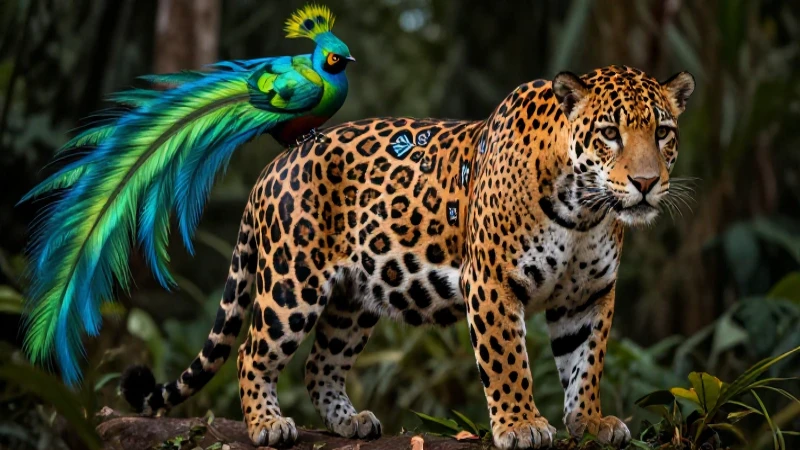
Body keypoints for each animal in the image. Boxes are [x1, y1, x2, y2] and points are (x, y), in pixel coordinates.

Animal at [121, 65, 695, 449]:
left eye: (664, 132)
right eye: (610, 134)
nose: (646, 184)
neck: (583, 210)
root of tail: (271, 169)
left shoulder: (589, 294)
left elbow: (586, 363)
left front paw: (590, 423)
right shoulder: (491, 282)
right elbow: (508, 361)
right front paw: (521, 425)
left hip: (353, 300)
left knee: (319, 364)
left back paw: (349, 422)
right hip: (292, 284)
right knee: (251, 352)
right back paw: (267, 425)